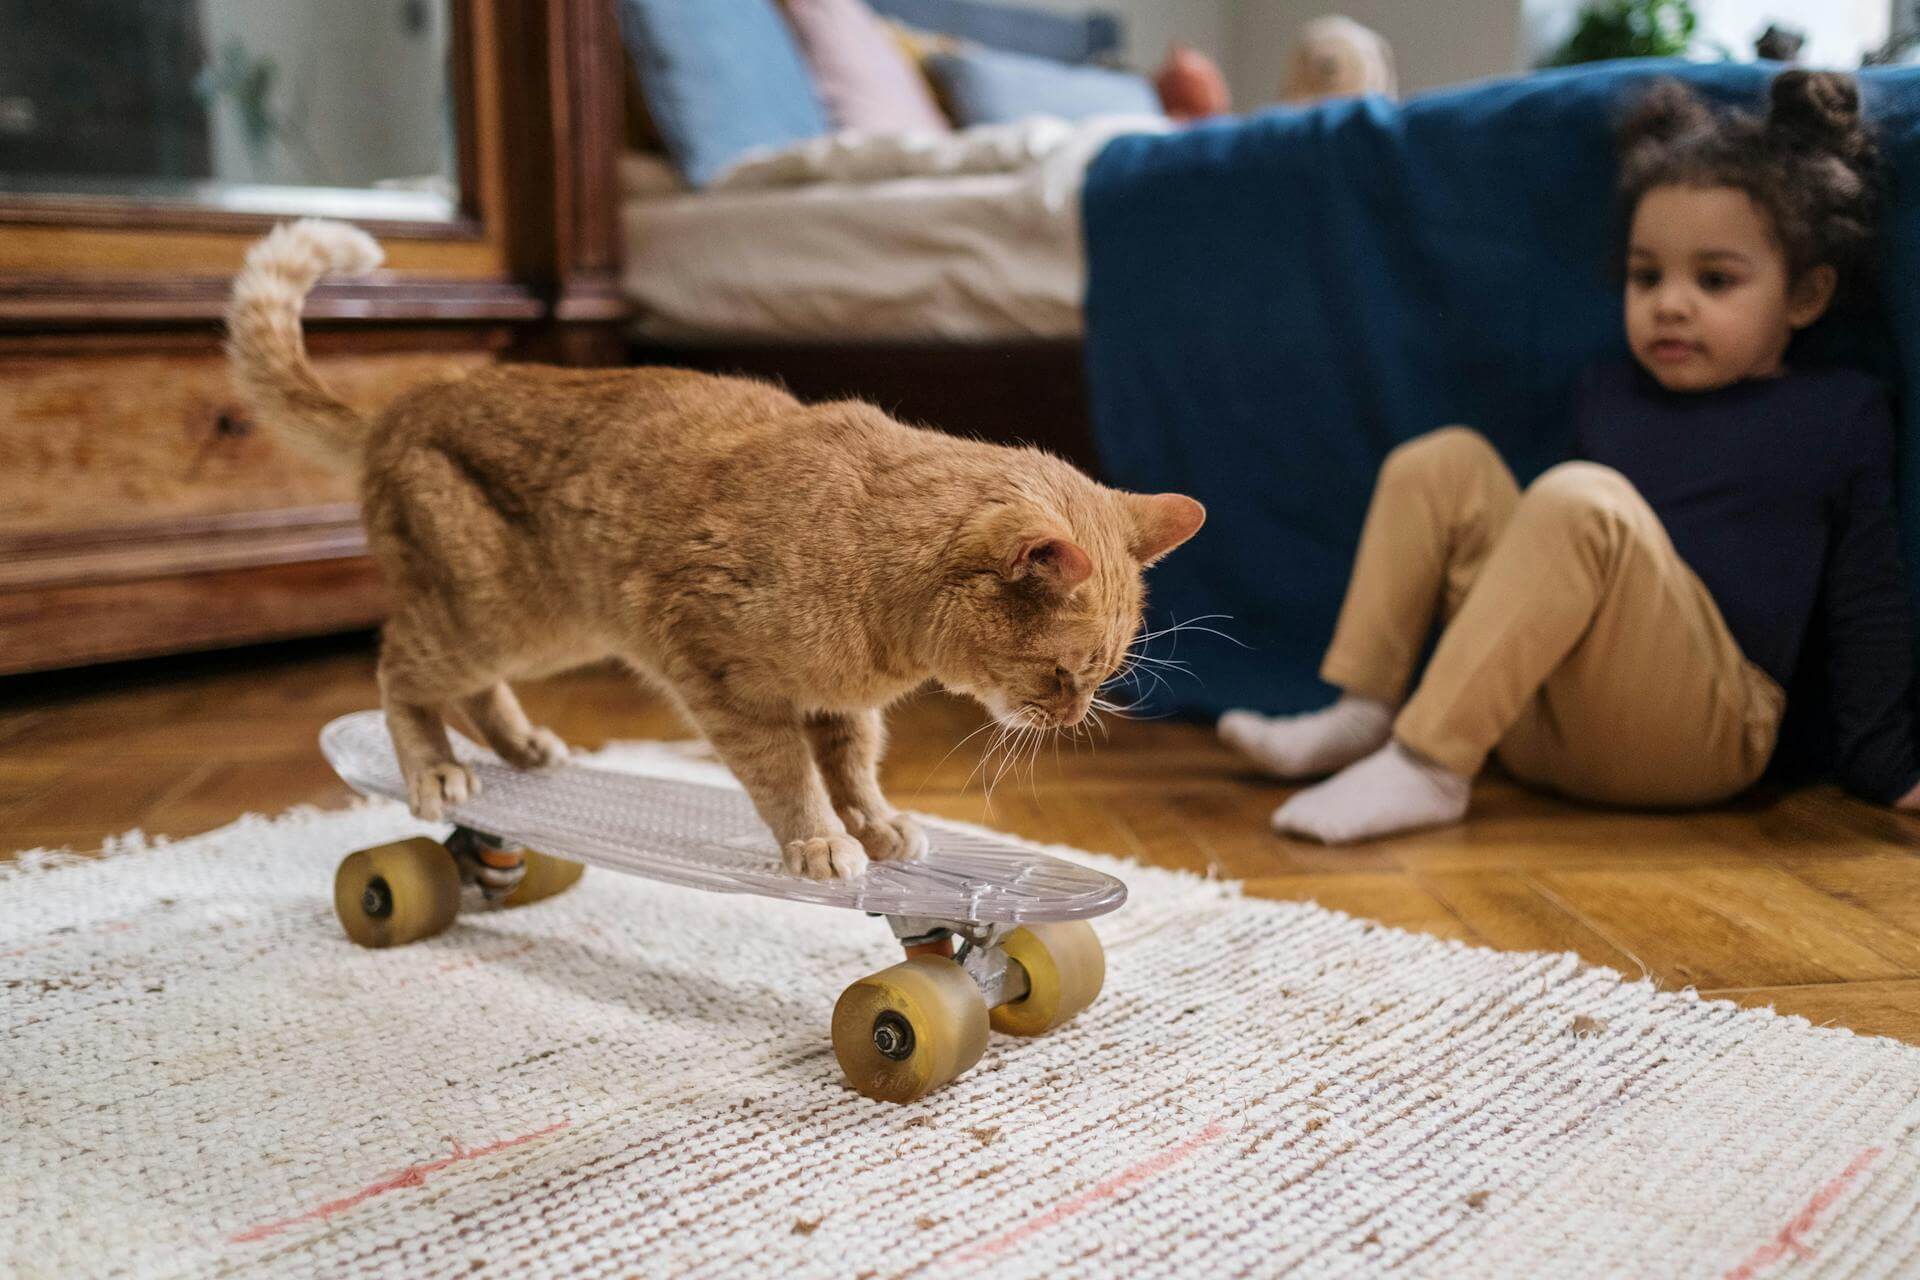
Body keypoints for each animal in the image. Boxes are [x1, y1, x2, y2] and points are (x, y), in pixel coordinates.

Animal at [228, 220, 1198, 882]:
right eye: (1063, 674)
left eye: (1102, 677)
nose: (1074, 721)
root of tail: (401, 406)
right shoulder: (727, 681)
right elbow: (787, 777)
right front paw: (821, 841)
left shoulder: (838, 706)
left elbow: (852, 769)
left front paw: (875, 823)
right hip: (491, 616)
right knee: (400, 671)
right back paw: (434, 767)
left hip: (545, 636)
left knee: (473, 689)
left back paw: (525, 747)